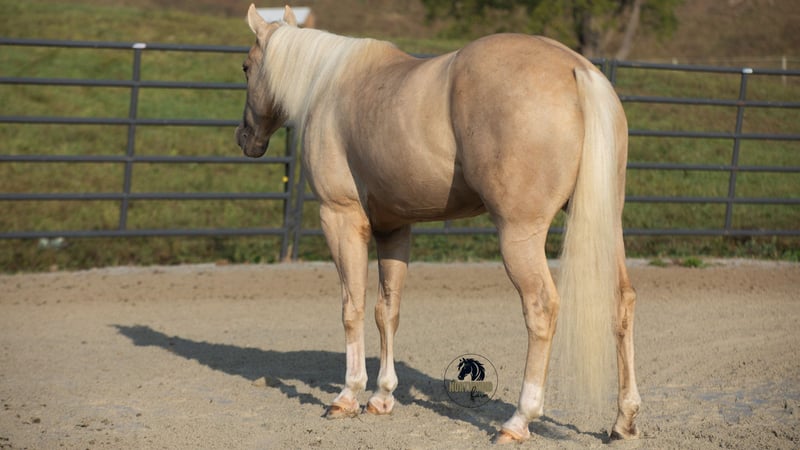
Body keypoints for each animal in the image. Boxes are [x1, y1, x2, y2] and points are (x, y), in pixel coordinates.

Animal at [236, 4, 640, 444]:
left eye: (245, 67)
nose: (244, 138)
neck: (330, 85)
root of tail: (576, 69)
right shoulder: (393, 228)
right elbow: (386, 310)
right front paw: (382, 397)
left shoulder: (340, 218)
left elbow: (352, 307)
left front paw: (348, 395)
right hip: (606, 225)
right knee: (622, 301)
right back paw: (624, 419)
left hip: (519, 235)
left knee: (541, 308)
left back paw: (518, 420)